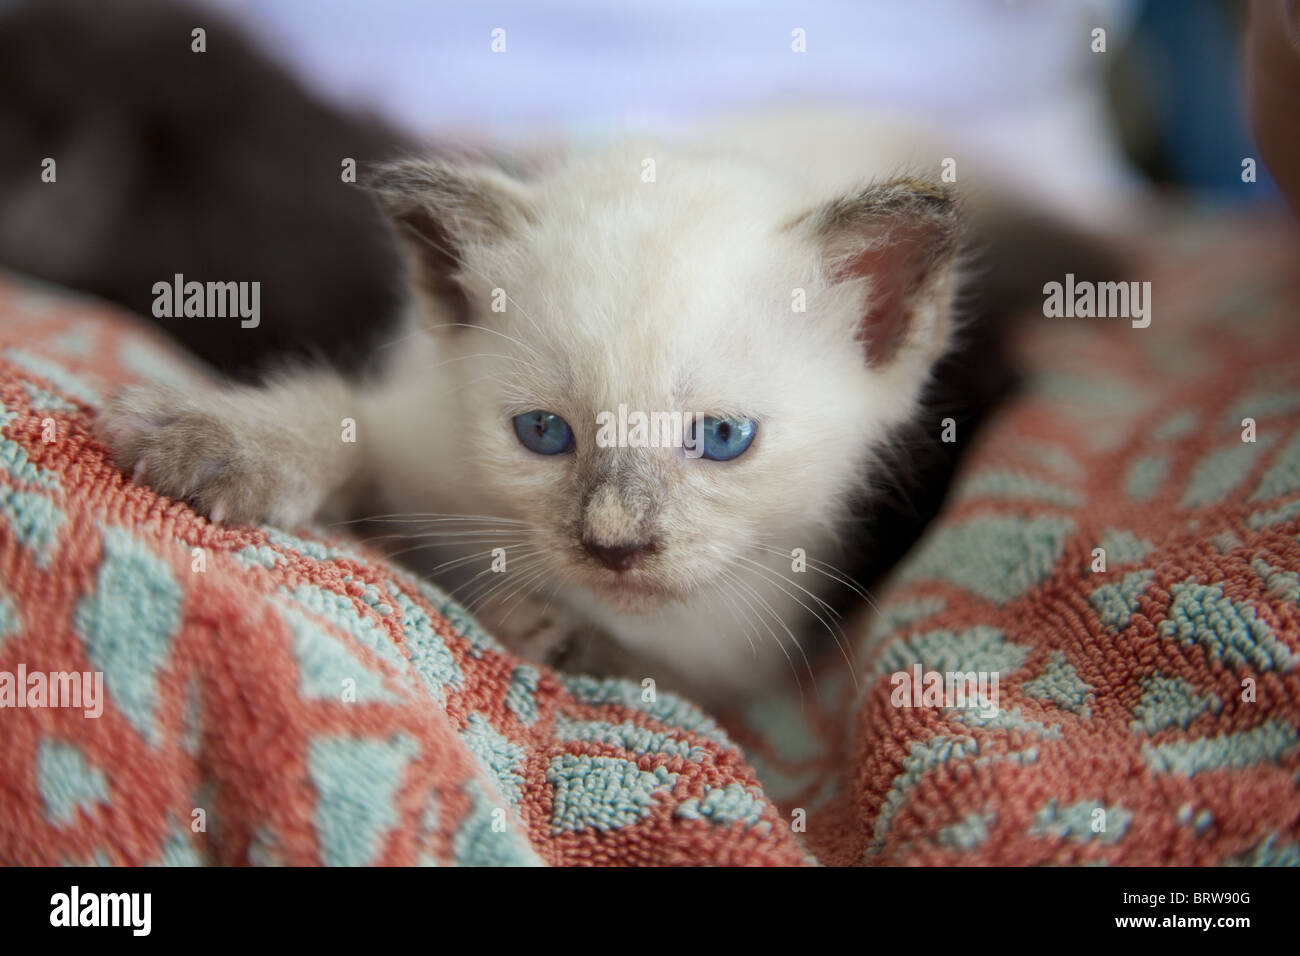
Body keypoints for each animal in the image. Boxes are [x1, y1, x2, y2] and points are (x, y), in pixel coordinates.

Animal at [98, 125, 967, 712]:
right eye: (543, 434)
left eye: (723, 439)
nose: (615, 546)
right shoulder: (415, 425)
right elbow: (343, 418)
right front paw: (223, 444)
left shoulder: (745, 664)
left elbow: (663, 678)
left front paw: (548, 629)